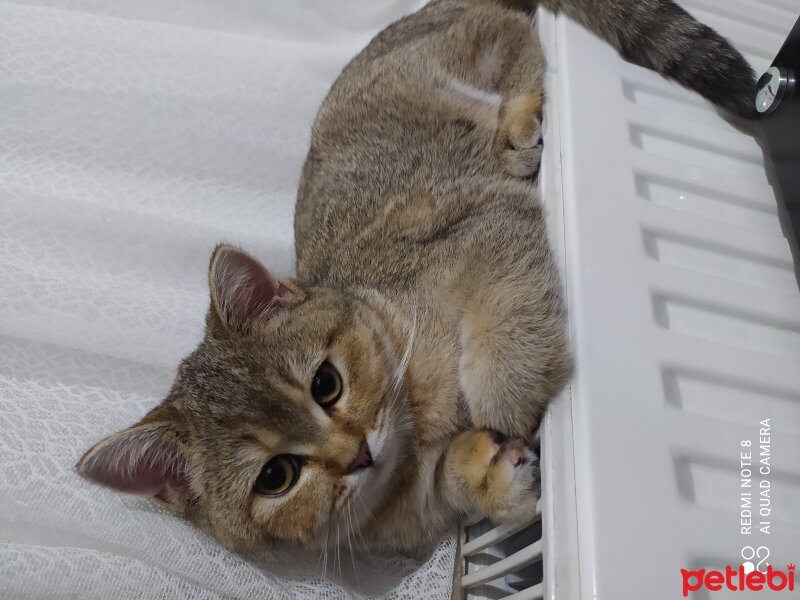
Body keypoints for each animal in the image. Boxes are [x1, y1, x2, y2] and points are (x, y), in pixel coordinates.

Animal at [76, 0, 756, 552]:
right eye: (276, 476)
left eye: (326, 384)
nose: (355, 454)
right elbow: (456, 480)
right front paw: (489, 475)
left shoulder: (485, 225)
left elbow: (503, 329)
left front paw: (506, 393)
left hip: (456, 59)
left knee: (519, 39)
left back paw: (517, 128)